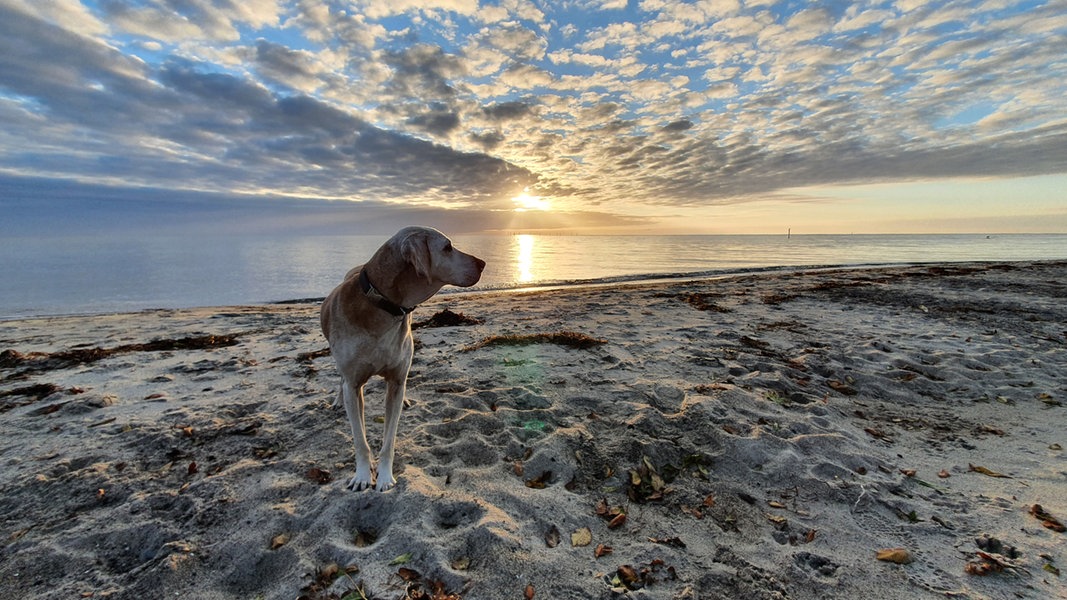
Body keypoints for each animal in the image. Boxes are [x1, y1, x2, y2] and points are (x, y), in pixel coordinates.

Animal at [315, 226, 484, 488]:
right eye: (447, 247)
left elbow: (390, 437)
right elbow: (359, 438)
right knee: (341, 380)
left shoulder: (395, 380)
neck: (382, 306)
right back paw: (337, 401)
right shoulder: (354, 384)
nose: (483, 263)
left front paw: (384, 476)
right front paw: (362, 475)